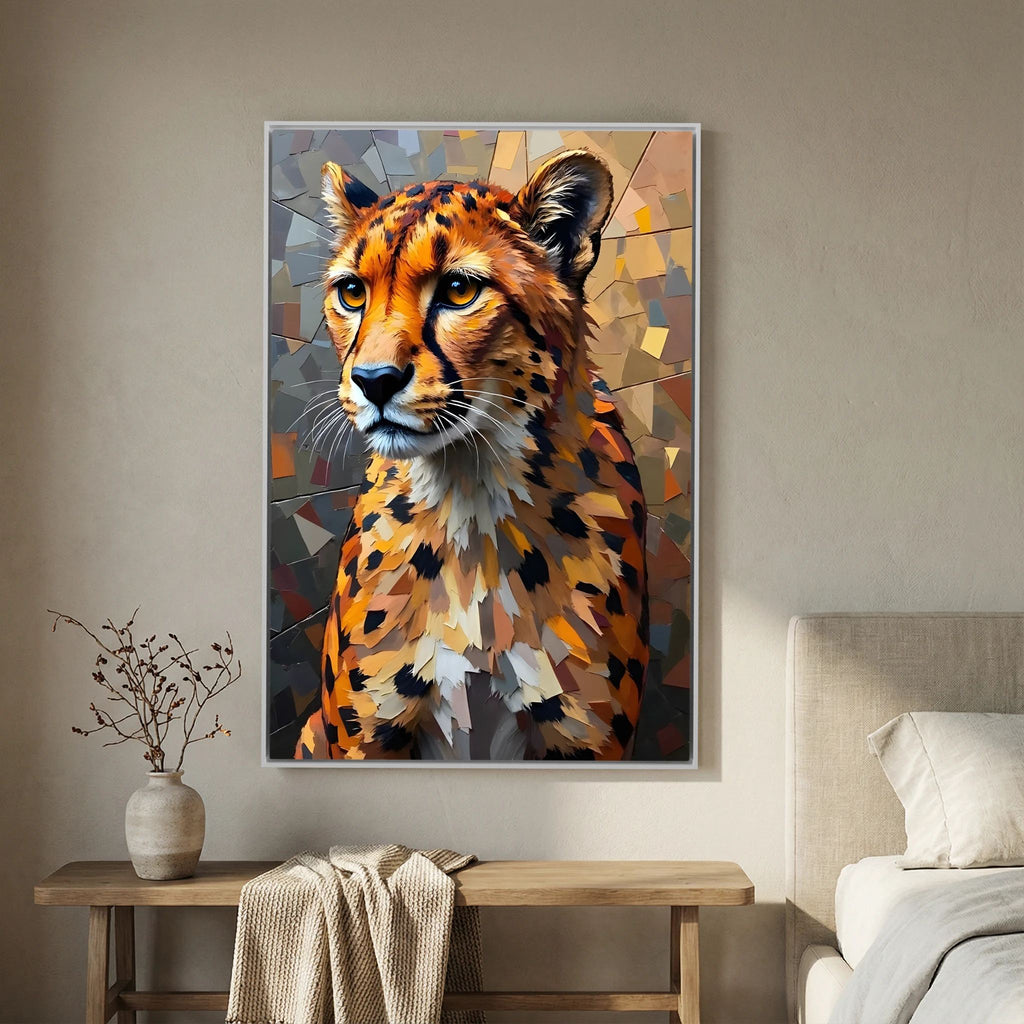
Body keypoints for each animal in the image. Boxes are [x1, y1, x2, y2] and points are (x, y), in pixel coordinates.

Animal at [295, 148, 649, 760]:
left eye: (460, 289)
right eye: (352, 293)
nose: (374, 380)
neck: (470, 490)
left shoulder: (586, 738)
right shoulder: (365, 738)